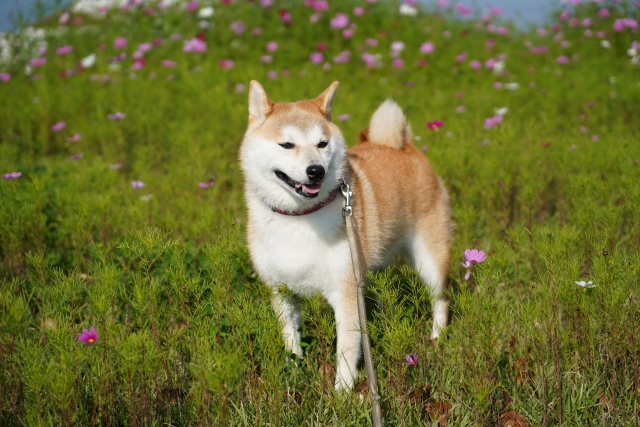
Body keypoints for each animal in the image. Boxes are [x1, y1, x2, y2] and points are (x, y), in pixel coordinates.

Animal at [241, 80, 456, 392]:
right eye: (287, 144)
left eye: (322, 144)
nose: (316, 170)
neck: (300, 217)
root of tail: (401, 146)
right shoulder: (281, 292)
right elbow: (291, 340)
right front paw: (294, 375)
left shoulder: (344, 294)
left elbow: (346, 350)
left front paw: (342, 394)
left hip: (428, 262)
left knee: (440, 300)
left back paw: (436, 339)